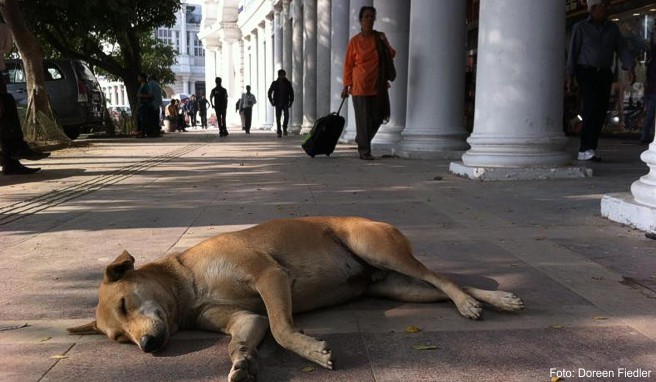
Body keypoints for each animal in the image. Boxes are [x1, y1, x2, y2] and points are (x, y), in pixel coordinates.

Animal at [69, 216, 524, 380]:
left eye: (125, 304)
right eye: (119, 339)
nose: (147, 346)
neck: (188, 285)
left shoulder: (270, 277)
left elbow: (281, 329)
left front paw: (312, 351)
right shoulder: (243, 317)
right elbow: (248, 333)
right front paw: (242, 361)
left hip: (378, 248)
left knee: (441, 276)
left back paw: (473, 304)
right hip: (397, 287)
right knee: (442, 284)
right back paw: (495, 298)